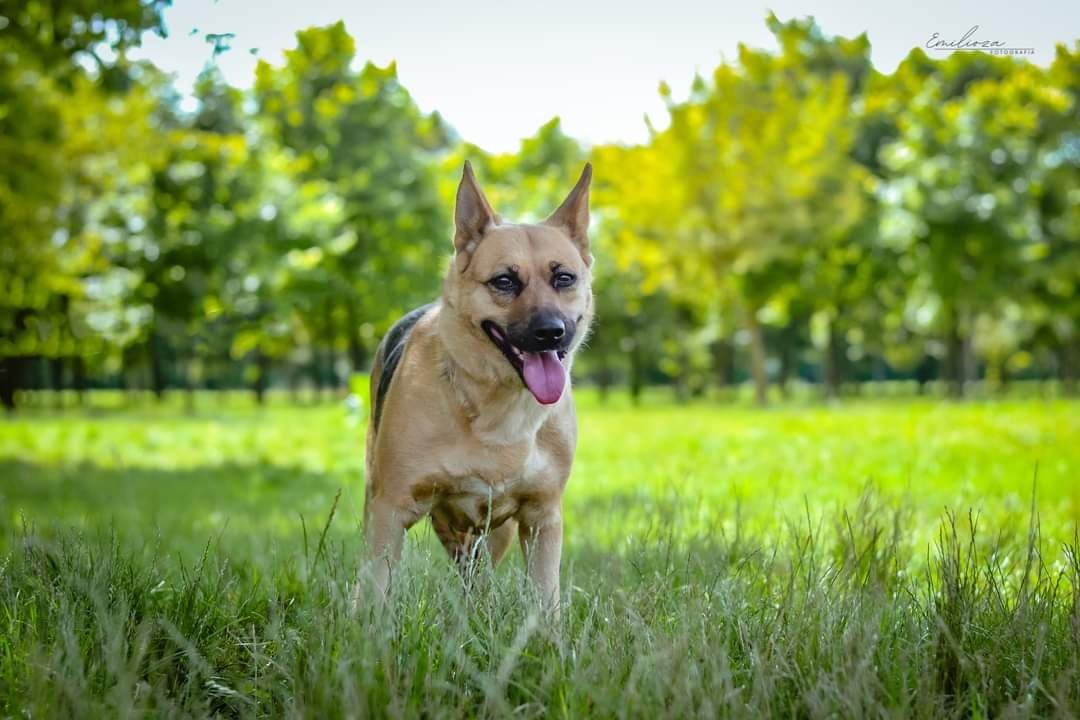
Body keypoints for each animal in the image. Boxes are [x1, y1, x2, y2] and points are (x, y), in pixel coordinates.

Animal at [360, 160, 600, 613]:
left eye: (564, 278)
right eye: (504, 281)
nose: (551, 332)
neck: (498, 412)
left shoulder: (542, 519)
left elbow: (546, 599)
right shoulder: (391, 511)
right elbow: (375, 590)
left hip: (493, 535)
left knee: (479, 578)